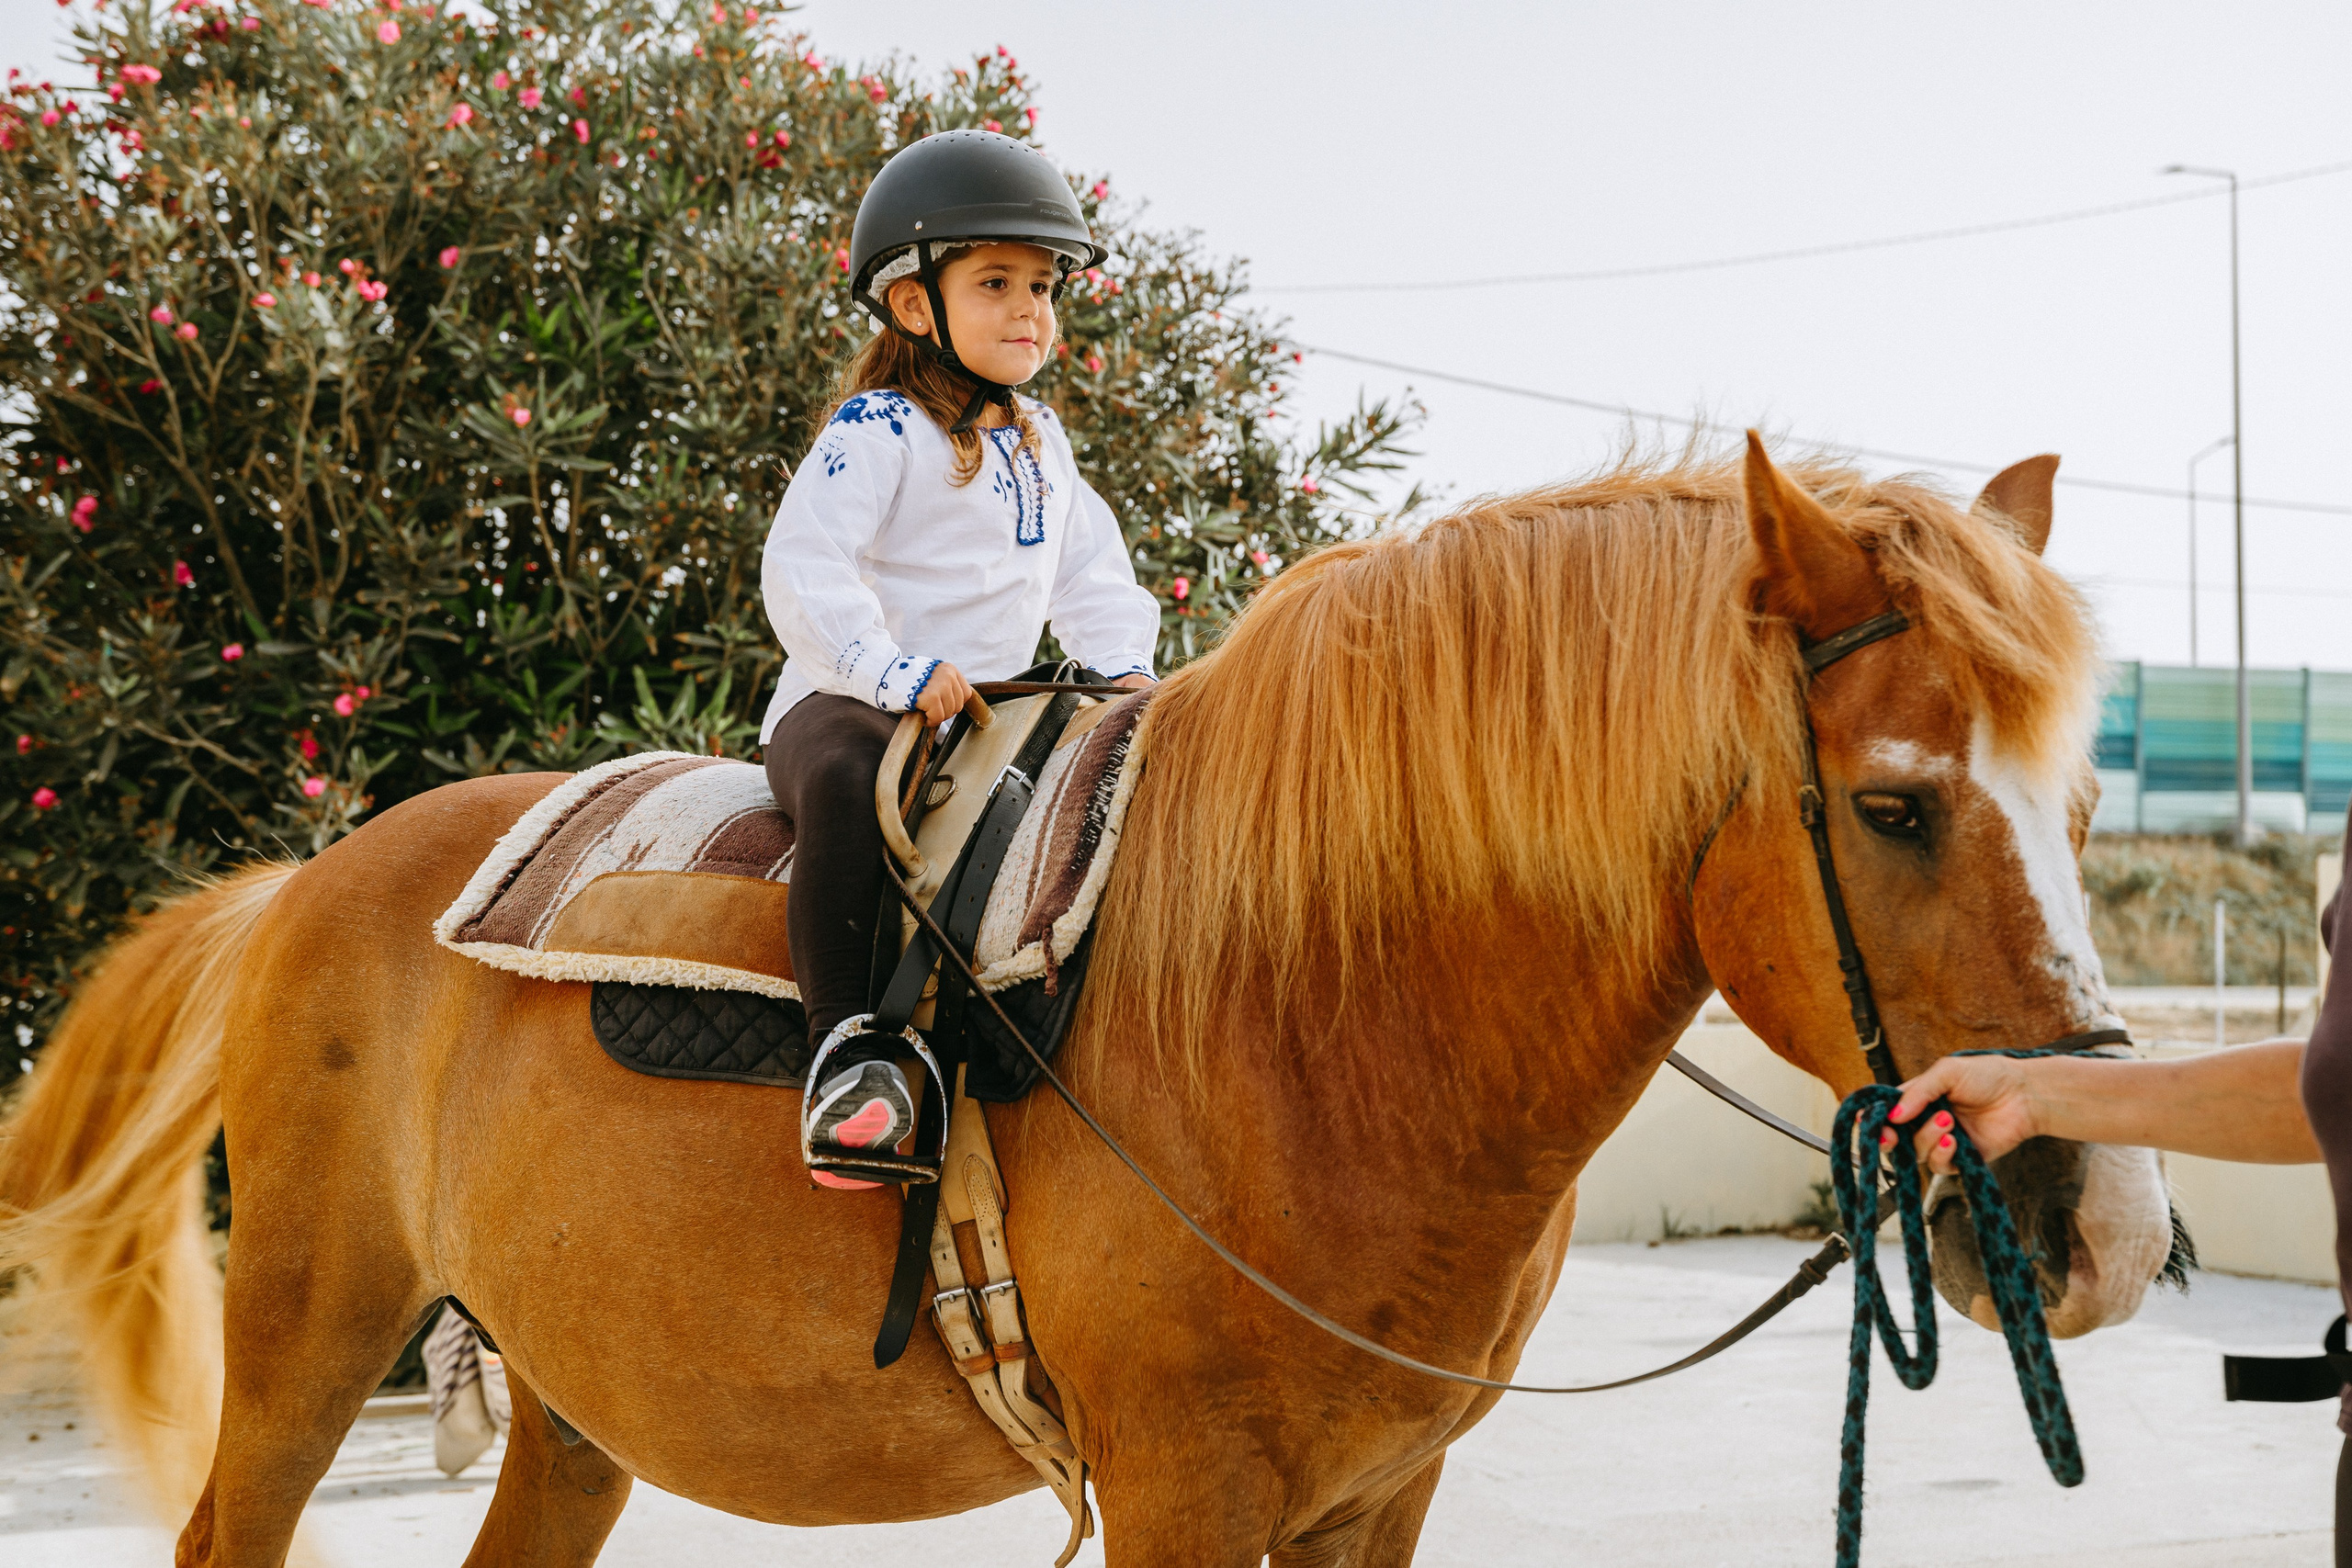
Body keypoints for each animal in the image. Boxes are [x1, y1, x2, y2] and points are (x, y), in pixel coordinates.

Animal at [0, 435, 2175, 1567]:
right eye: (1893, 805)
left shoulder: (1378, 1495)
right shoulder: (1186, 1497)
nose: (2106, 1230)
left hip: (567, 1395)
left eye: (2083, 801)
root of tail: (310, 880)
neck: (1315, 1023)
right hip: (308, 1333)